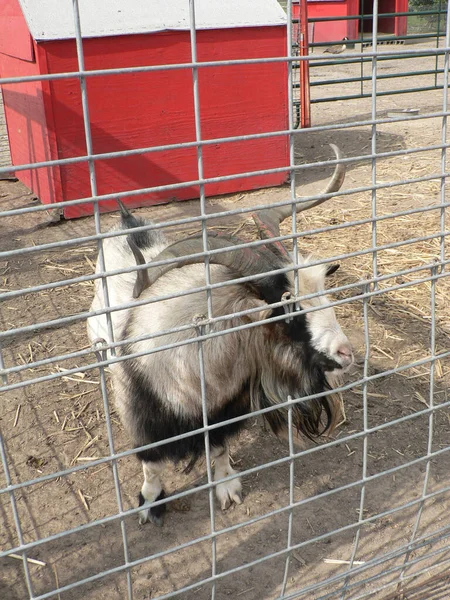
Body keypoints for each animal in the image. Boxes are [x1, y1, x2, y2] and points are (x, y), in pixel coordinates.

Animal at [86, 145, 354, 524]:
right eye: (285, 305)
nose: (345, 353)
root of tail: (127, 223)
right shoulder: (143, 419)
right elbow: (151, 465)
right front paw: (150, 502)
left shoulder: (223, 412)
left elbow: (220, 449)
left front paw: (227, 487)